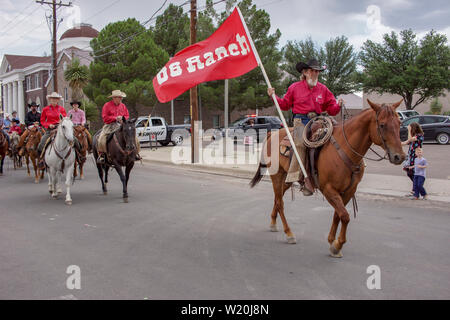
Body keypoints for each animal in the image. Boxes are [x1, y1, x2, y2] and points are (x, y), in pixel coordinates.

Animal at [250, 99, 404, 258]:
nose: (399, 156)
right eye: (382, 125)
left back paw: (273, 223)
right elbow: (345, 215)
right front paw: (337, 245)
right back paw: (289, 234)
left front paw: (332, 242)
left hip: (287, 179)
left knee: (277, 199)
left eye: (399, 123)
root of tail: (271, 135)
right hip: (277, 176)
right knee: (280, 203)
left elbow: (338, 214)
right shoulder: (328, 189)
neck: (344, 149)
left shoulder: (349, 190)